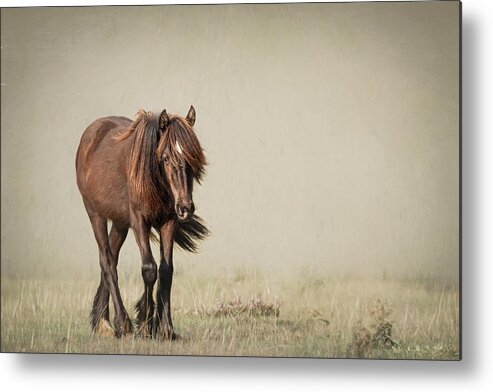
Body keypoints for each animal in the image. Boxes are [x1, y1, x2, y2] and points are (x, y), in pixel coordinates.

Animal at [75, 105, 208, 338]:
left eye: (192, 158)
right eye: (166, 158)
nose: (185, 208)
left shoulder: (168, 221)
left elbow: (166, 271)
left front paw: (166, 329)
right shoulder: (139, 222)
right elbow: (149, 268)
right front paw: (145, 323)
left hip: (120, 223)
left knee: (110, 258)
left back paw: (102, 321)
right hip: (95, 214)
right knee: (107, 261)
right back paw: (121, 323)